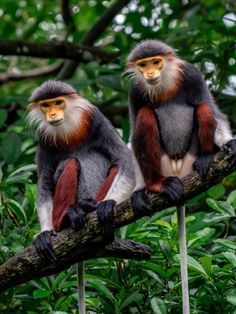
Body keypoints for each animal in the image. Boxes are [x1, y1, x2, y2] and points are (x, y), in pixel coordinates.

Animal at [27, 79, 135, 314]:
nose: (52, 114)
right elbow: (45, 185)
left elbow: (124, 159)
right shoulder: (44, 138)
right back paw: (70, 216)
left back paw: (91, 209)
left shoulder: (96, 118)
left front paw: (108, 204)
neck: (68, 128)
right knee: (70, 162)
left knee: (112, 165)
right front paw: (44, 232)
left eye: (58, 102)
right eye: (46, 105)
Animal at [125, 39, 236, 314]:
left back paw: (206, 159)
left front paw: (229, 144)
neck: (163, 85)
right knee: (144, 116)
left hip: (190, 156)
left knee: (204, 108)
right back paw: (155, 185)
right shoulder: (135, 90)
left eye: (156, 62)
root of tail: (177, 170)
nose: (149, 73)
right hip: (161, 163)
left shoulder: (192, 75)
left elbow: (214, 109)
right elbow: (133, 125)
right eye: (143, 65)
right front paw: (138, 190)